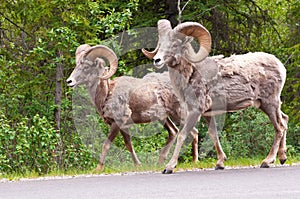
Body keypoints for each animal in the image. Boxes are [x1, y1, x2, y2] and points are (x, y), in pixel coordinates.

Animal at [67, 44, 200, 171]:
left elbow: (106, 145)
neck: (107, 93)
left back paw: (193, 162)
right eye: (76, 64)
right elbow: (129, 145)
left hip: (179, 114)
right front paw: (138, 165)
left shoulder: (117, 123)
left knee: (193, 132)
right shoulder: (124, 126)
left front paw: (98, 168)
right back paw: (160, 162)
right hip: (163, 118)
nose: (69, 81)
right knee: (174, 132)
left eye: (86, 67)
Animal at [143, 19, 288, 173]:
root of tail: (280, 66)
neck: (192, 73)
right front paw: (220, 163)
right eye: (161, 43)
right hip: (267, 104)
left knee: (279, 127)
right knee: (284, 120)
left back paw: (267, 161)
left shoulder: (195, 111)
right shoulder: (207, 113)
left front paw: (169, 167)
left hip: (269, 103)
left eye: (175, 44)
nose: (157, 60)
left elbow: (182, 135)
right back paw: (282, 157)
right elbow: (213, 134)